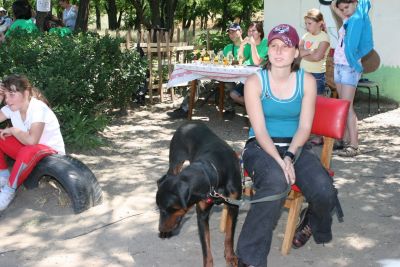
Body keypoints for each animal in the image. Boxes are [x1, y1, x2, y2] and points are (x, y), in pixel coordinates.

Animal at [157, 122, 242, 267]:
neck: (213, 171)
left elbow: (230, 235)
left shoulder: (233, 206)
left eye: (169, 209)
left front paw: (230, 256)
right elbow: (206, 246)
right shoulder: (202, 214)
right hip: (175, 162)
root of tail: (188, 123)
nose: (160, 229)